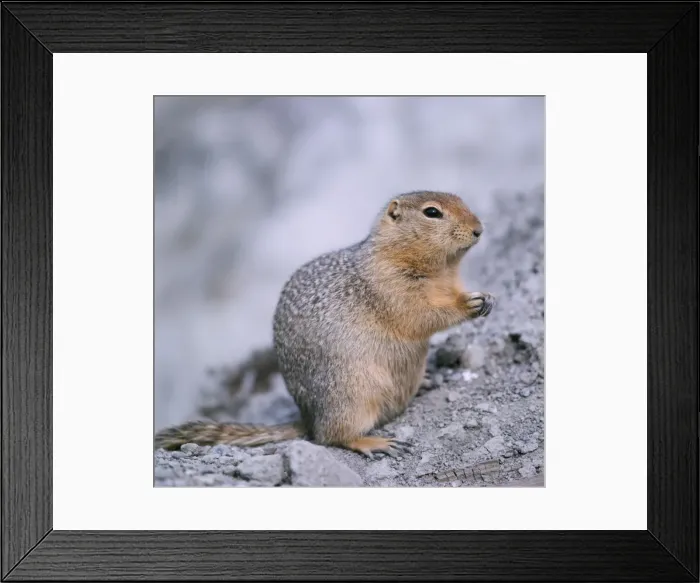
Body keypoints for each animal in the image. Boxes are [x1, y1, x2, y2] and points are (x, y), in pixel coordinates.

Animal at [155, 191, 495, 458]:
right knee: (331, 437)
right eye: (432, 212)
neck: (440, 270)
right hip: (352, 396)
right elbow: (421, 314)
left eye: (462, 201)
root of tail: (307, 418)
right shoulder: (391, 287)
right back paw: (374, 442)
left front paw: (486, 298)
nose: (479, 229)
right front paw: (467, 305)